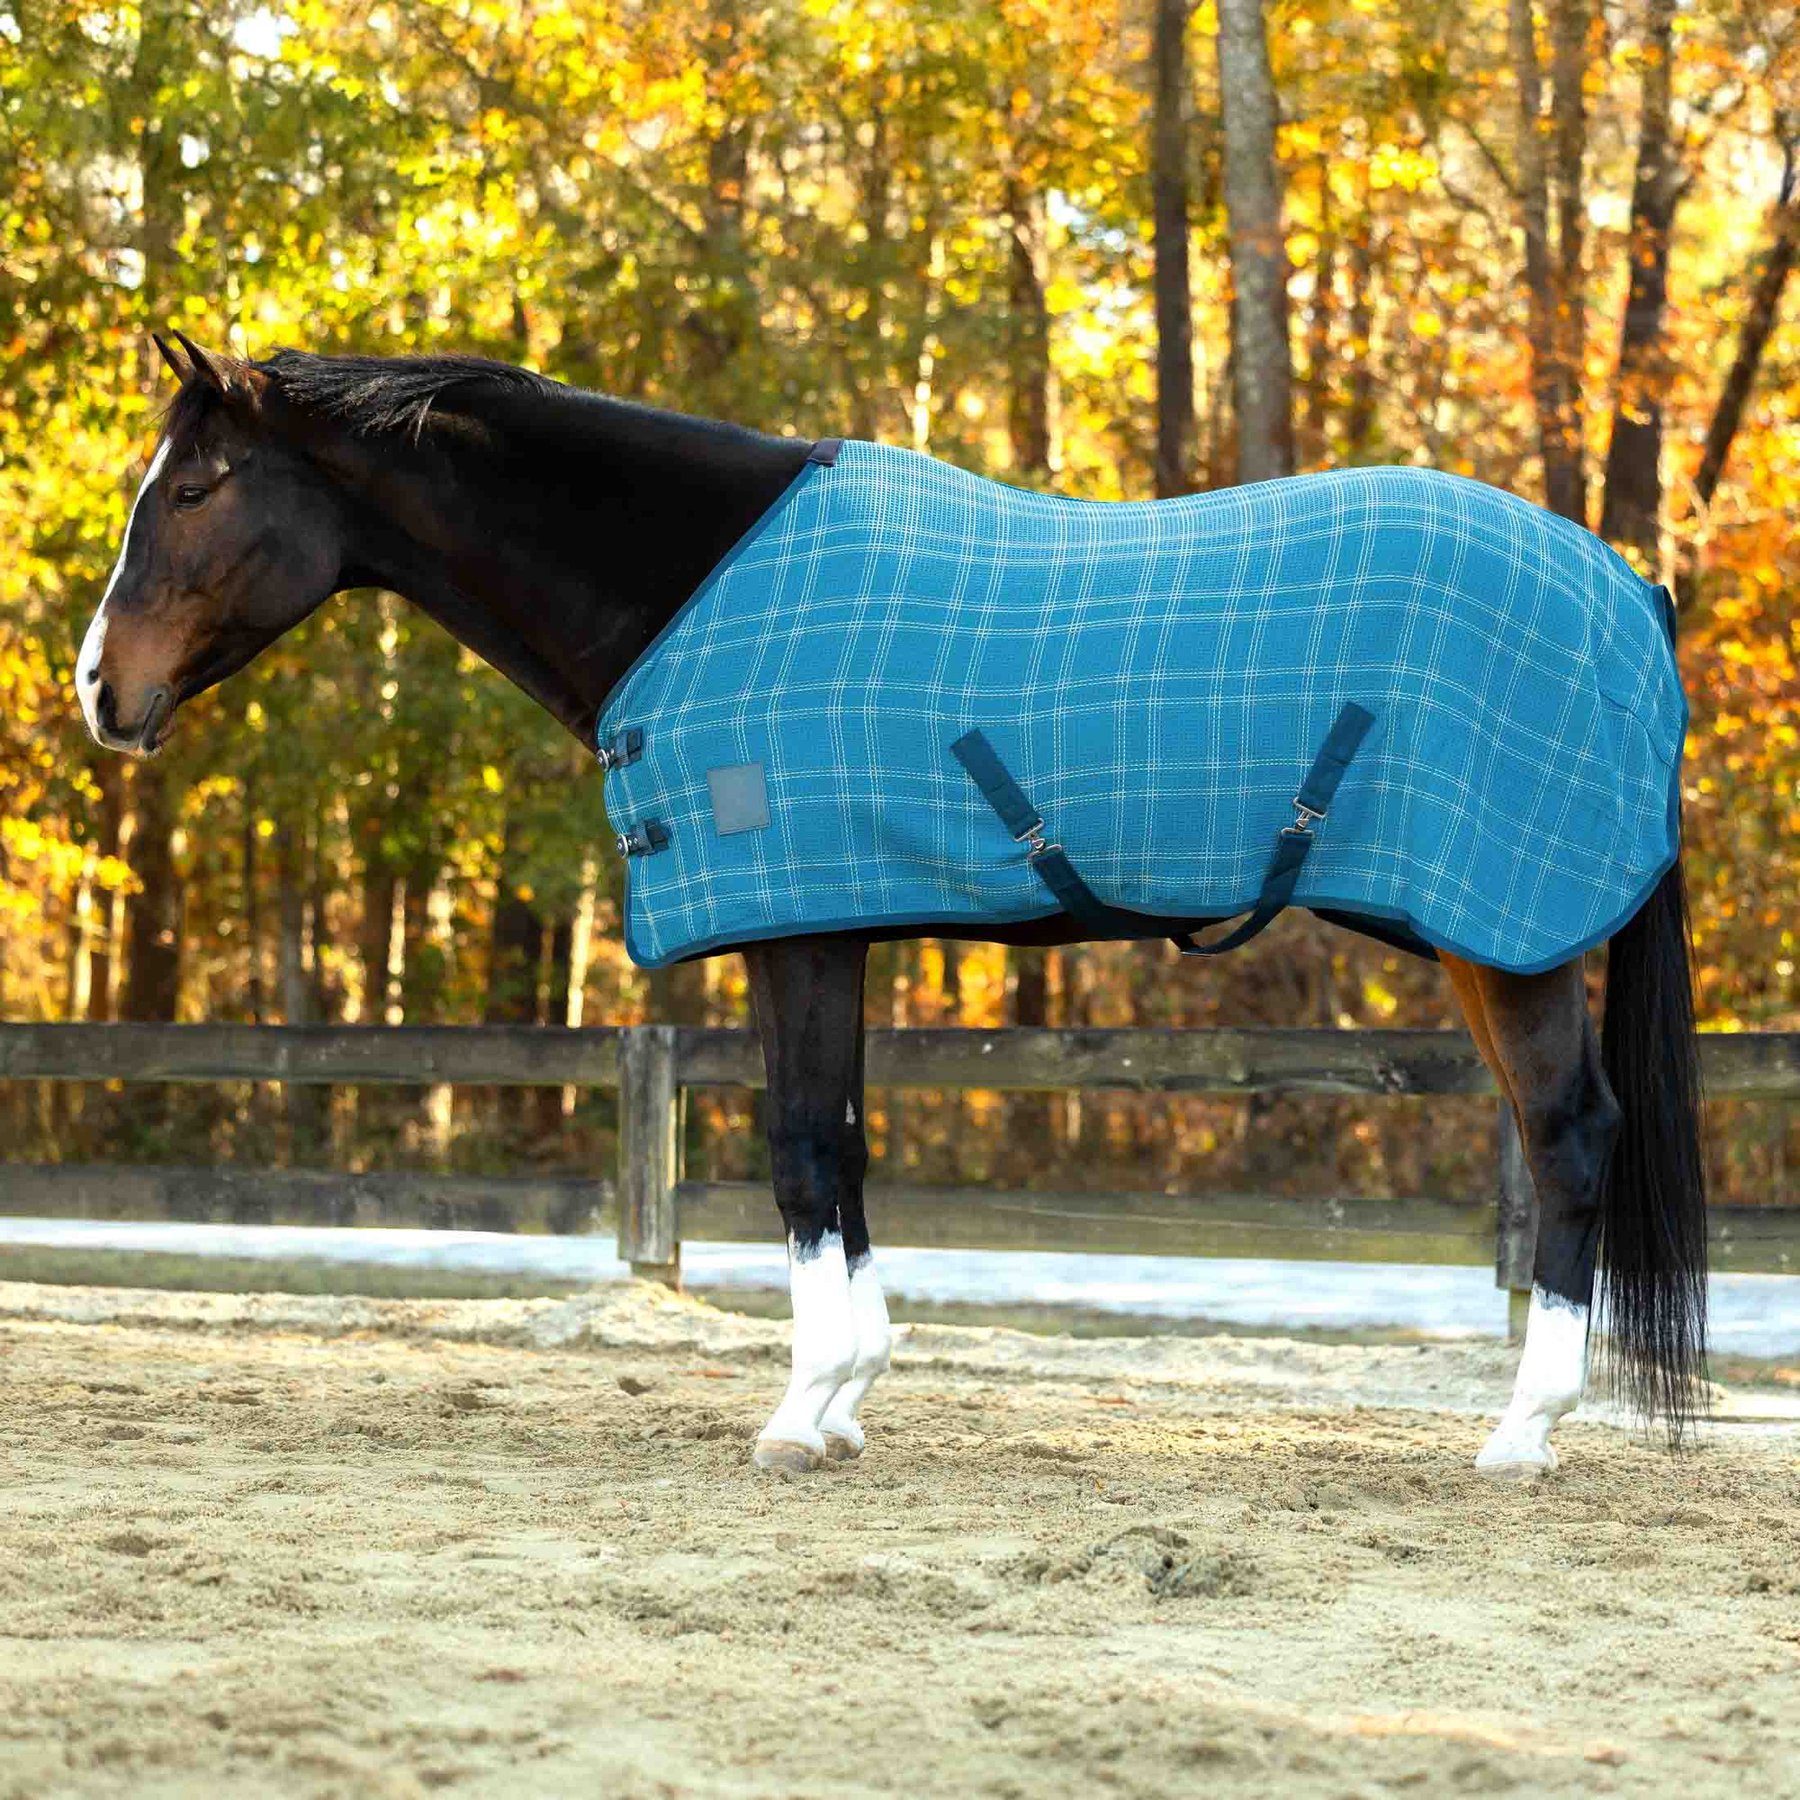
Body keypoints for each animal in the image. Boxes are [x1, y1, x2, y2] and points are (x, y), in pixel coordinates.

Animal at [76, 333, 1707, 1481]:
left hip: (1509, 937)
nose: (101, 690)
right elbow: (845, 1152)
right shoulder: (836, 929)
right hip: (1502, 938)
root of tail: (1631, 589)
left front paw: (801, 1412)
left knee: (1569, 1142)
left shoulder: (794, 932)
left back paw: (1521, 1434)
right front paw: (848, 1397)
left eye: (198, 489)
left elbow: (803, 1154)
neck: (692, 589)